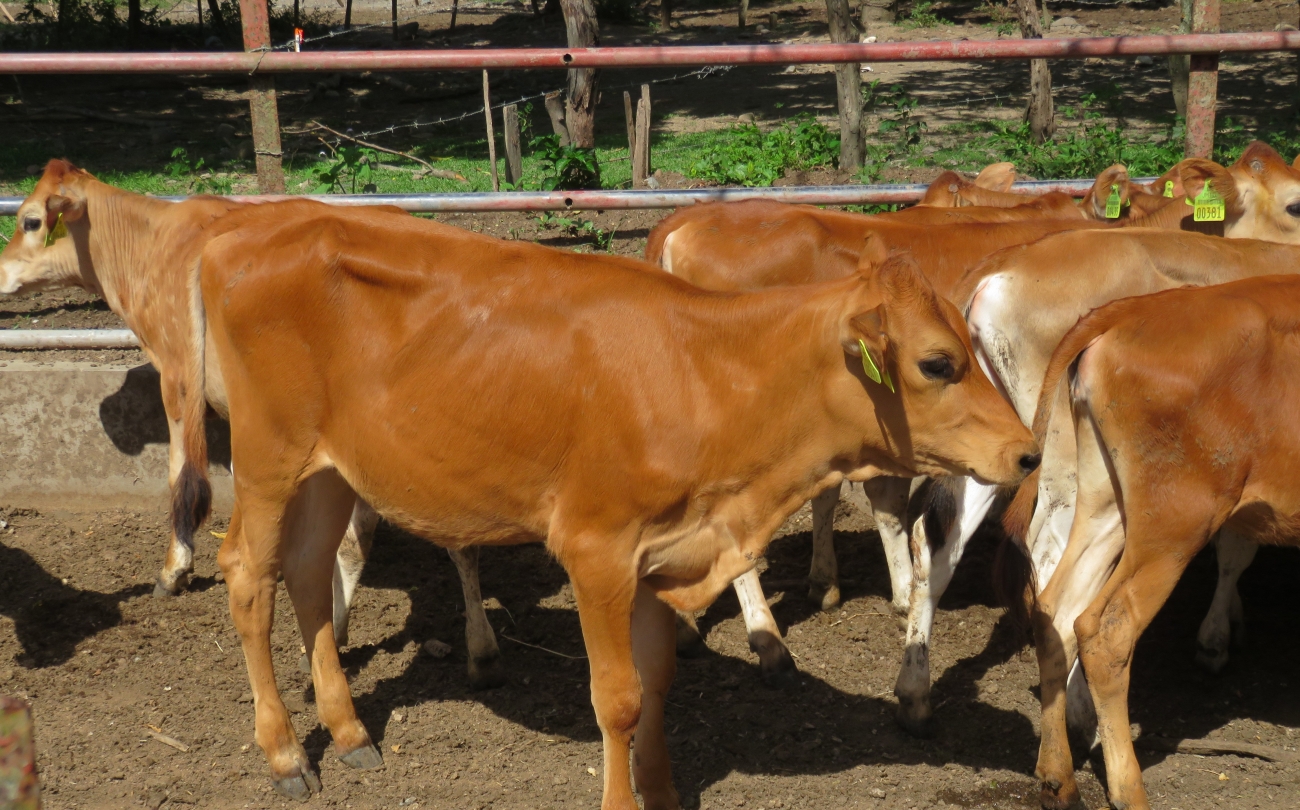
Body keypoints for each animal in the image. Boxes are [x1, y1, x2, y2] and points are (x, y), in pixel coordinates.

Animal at [0, 163, 505, 688]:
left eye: (31, 221)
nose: (1, 273)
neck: (152, 241)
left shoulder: (177, 375)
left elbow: (180, 475)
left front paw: (174, 569)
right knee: (436, 541)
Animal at [183, 204, 1039, 806]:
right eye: (938, 363)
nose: (1028, 451)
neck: (707, 375)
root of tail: (243, 228)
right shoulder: (595, 551)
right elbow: (618, 699)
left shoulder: (668, 551)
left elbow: (658, 682)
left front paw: (662, 790)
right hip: (268, 455)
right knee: (247, 575)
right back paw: (286, 755)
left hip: (332, 469)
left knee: (305, 571)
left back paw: (348, 729)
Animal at [1027, 274, 1300, 810]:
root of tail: (1137, 307)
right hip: (1176, 520)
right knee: (1106, 630)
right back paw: (1128, 789)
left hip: (1107, 504)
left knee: (1056, 611)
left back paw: (1058, 779)